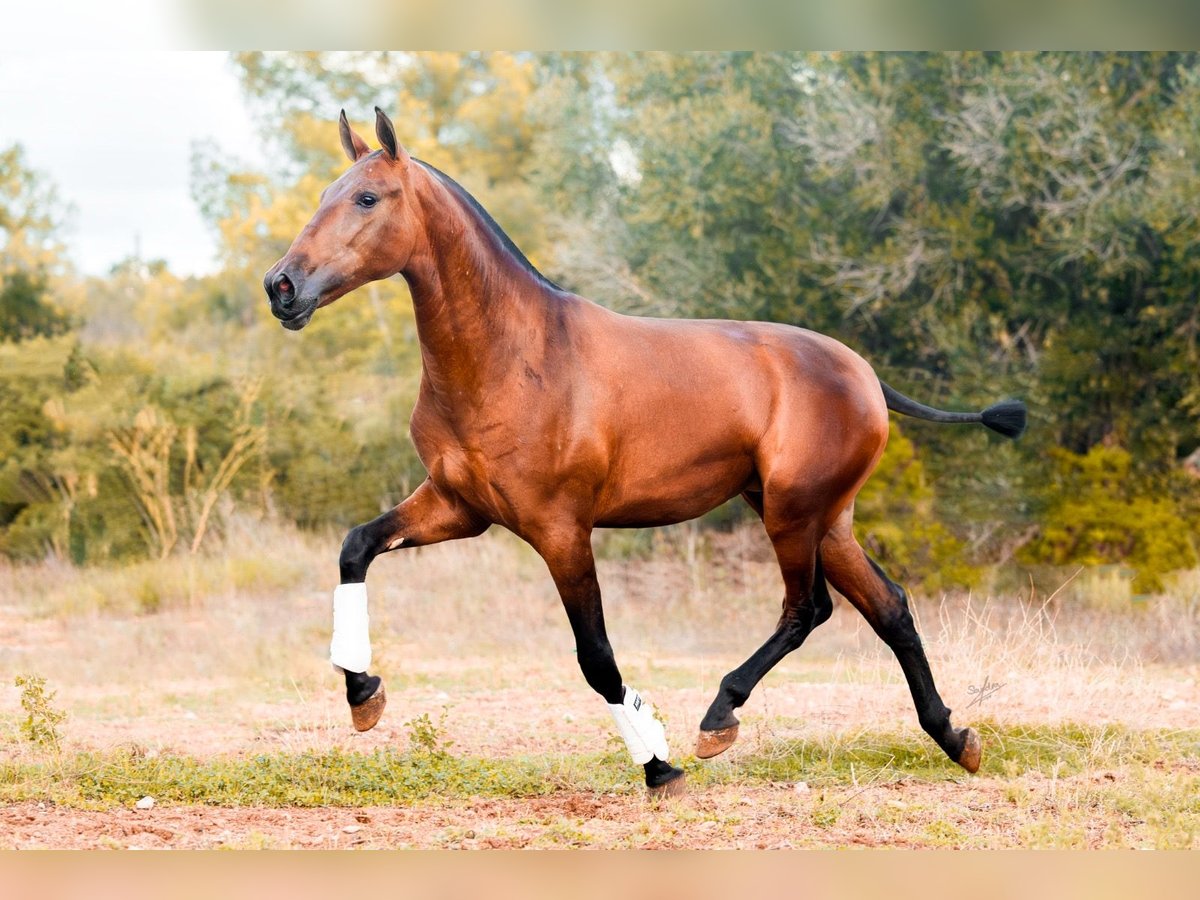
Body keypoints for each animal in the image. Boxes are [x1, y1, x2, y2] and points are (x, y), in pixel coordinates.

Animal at [267, 109, 1027, 801]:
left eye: (368, 198)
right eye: (325, 193)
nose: (282, 287)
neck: (513, 355)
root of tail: (865, 375)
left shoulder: (560, 530)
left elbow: (597, 658)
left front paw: (660, 765)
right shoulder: (457, 506)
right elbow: (355, 546)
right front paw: (364, 694)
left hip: (792, 513)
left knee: (806, 610)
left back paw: (719, 719)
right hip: (823, 517)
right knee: (889, 608)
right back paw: (955, 739)